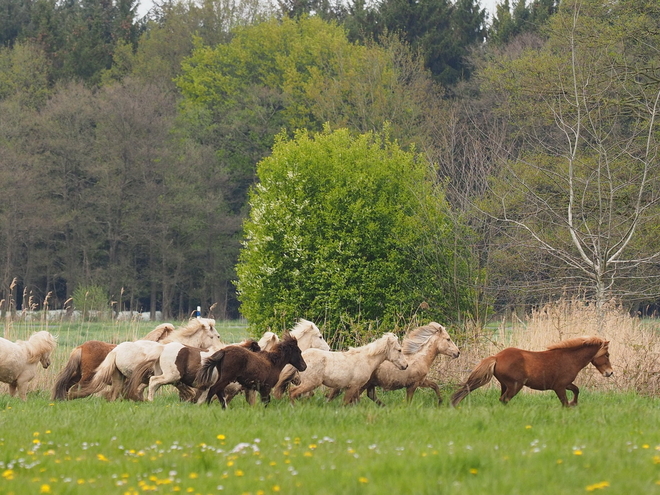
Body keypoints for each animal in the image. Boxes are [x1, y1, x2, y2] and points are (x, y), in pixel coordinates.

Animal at [328, 322, 462, 406]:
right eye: (448, 339)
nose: (458, 353)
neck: (420, 359)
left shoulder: (421, 381)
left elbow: (435, 385)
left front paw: (441, 402)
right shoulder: (413, 385)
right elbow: (409, 400)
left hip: (369, 384)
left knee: (369, 395)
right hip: (363, 384)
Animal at [452, 336, 612, 408]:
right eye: (607, 355)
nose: (610, 373)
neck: (570, 358)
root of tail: (496, 357)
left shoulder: (565, 384)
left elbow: (576, 390)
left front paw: (575, 403)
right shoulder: (559, 387)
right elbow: (565, 402)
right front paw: (571, 405)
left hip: (505, 385)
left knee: (502, 399)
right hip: (515, 385)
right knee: (505, 399)